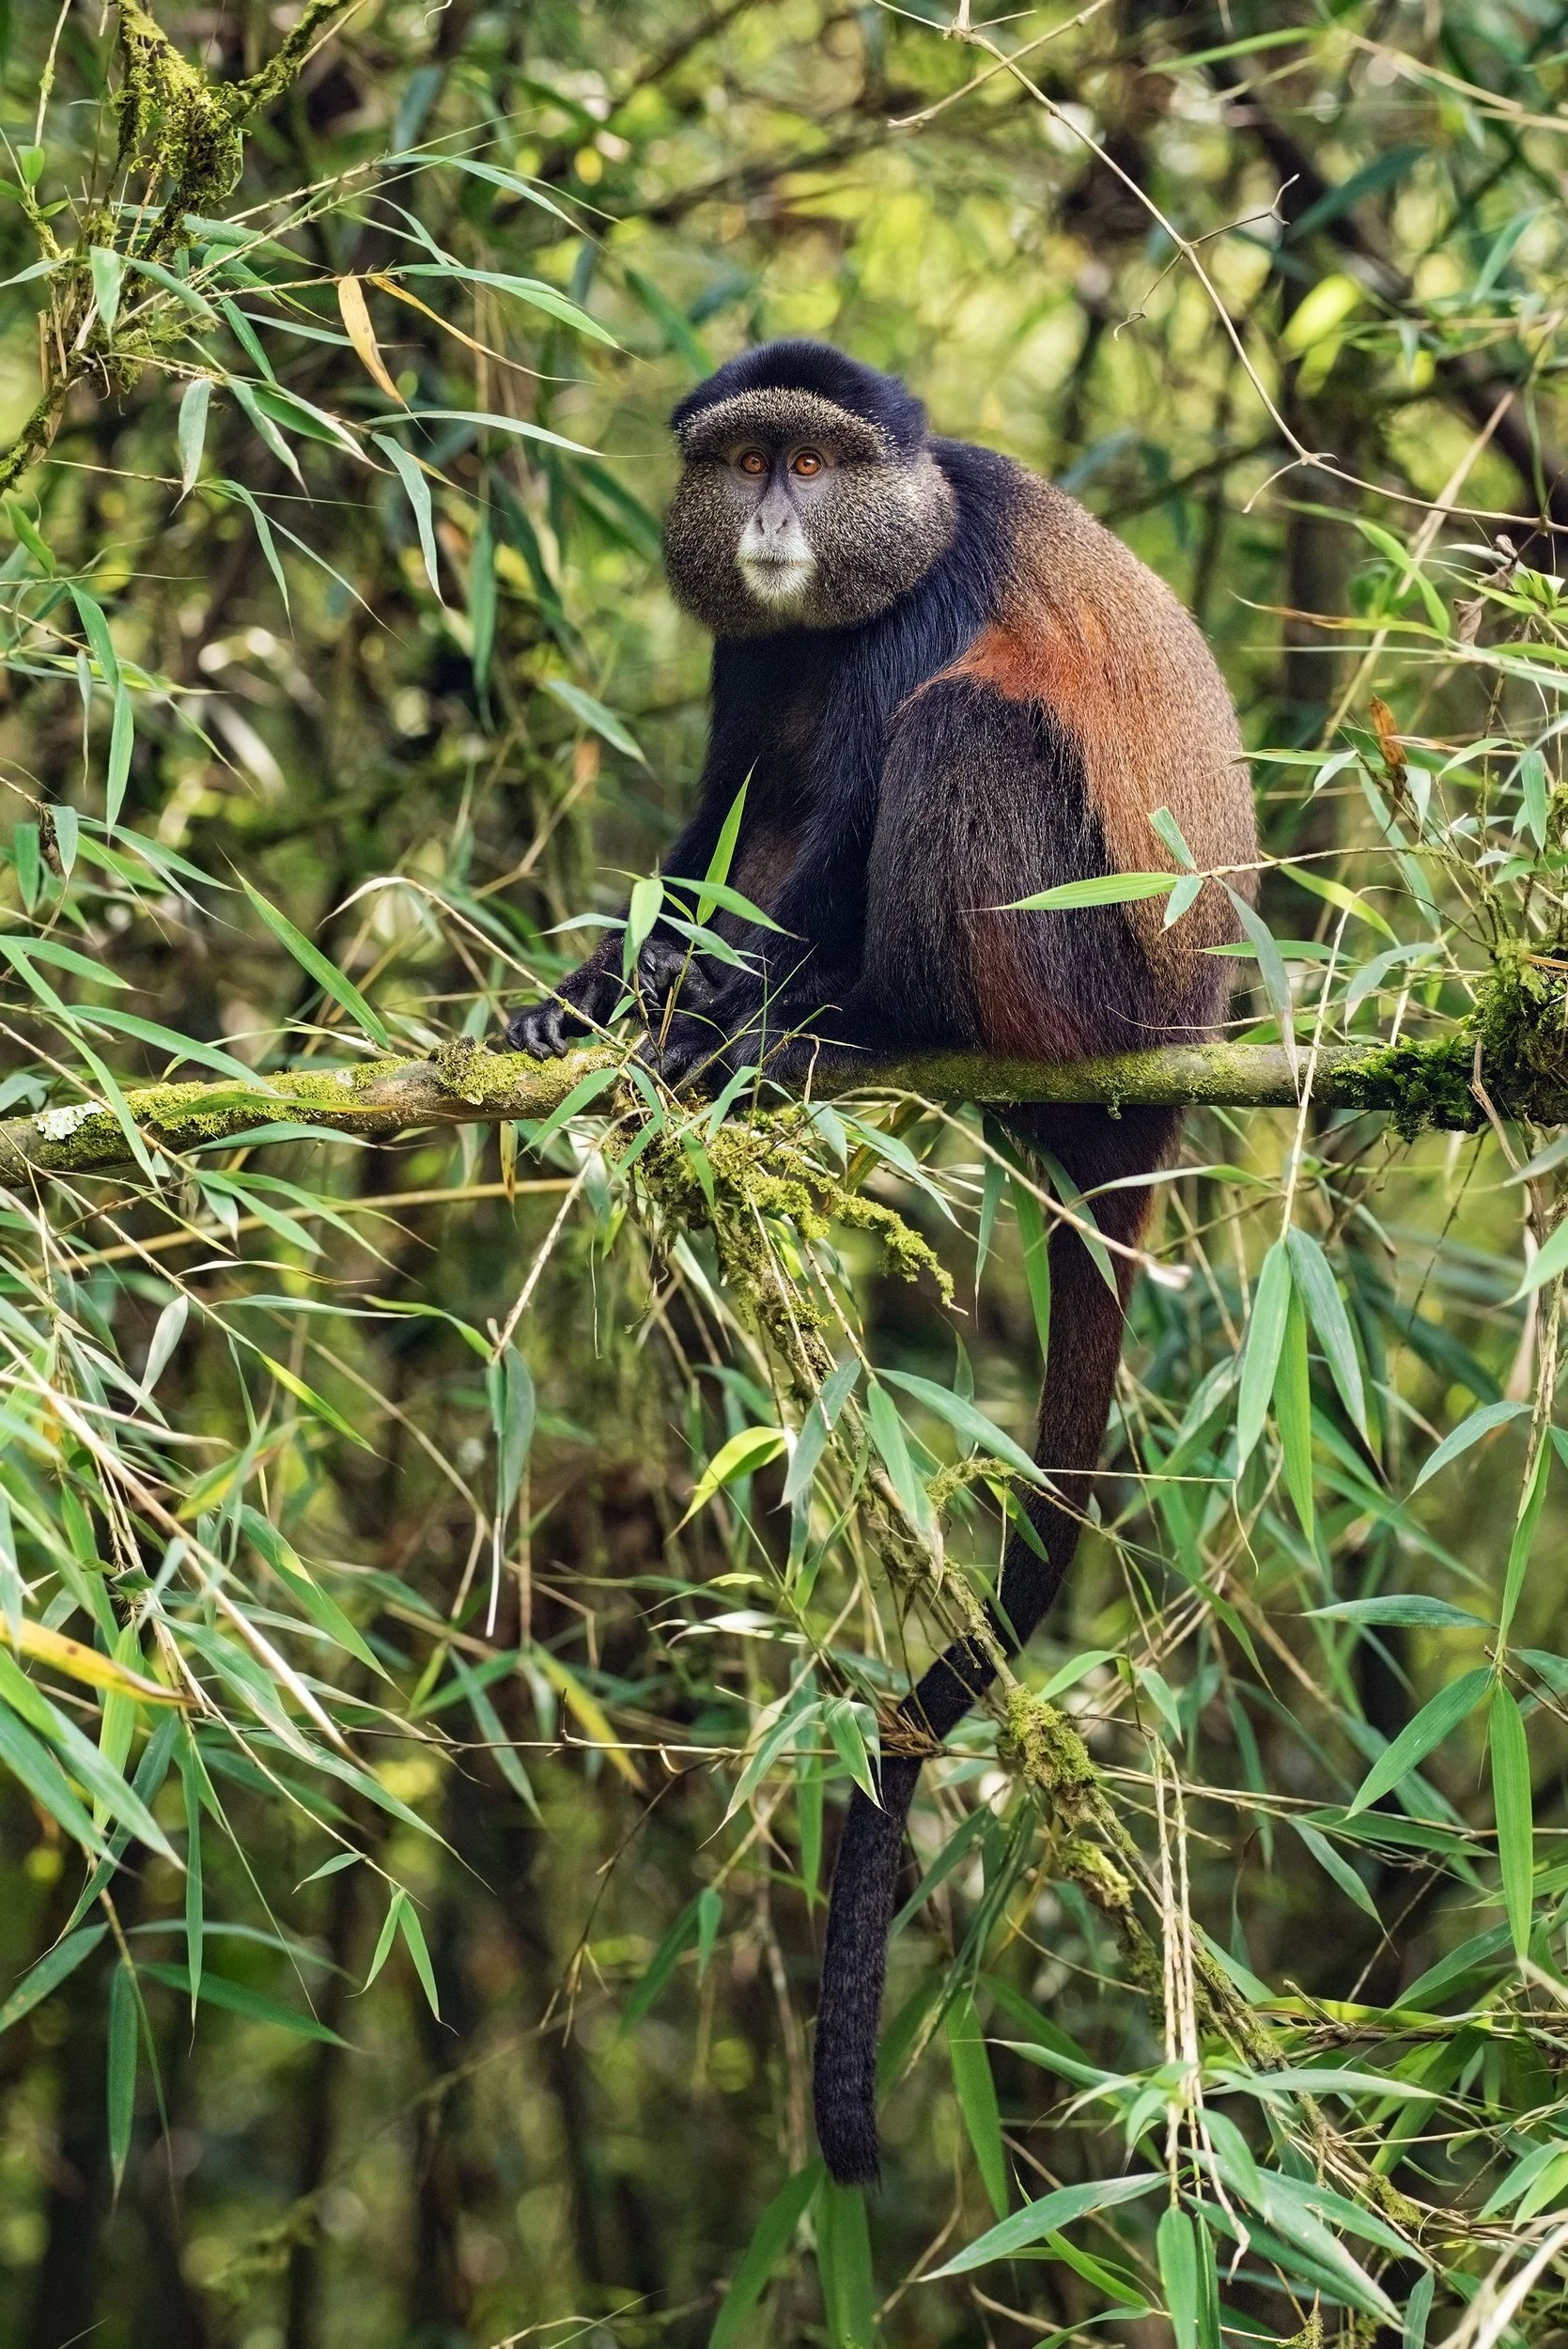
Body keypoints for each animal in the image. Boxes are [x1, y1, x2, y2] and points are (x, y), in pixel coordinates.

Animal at [506, 339, 1256, 2185]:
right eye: (744, 459)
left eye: (816, 460)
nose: (772, 518)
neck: (853, 578)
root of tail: (1168, 1076)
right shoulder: (749, 651)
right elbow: (725, 816)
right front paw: (592, 999)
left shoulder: (933, 597)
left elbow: (850, 800)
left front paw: (702, 1023)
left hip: (1073, 983)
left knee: (957, 738)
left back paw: (842, 1024)